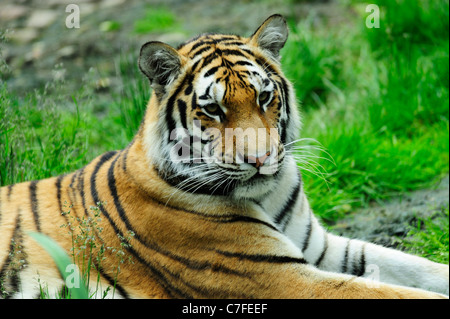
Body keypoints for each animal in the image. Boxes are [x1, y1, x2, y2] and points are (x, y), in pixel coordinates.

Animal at [0, 14, 448, 300]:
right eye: (213, 109)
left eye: (264, 97)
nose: (261, 158)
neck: (267, 195)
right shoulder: (282, 278)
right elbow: (402, 294)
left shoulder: (322, 250)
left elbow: (420, 269)